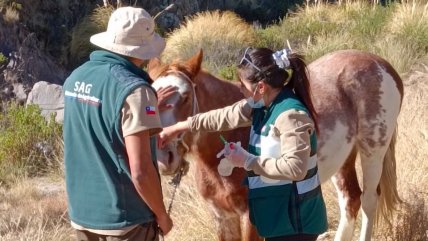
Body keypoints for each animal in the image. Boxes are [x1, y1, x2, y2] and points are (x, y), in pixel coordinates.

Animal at [147, 49, 402, 241]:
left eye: (185, 97)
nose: (164, 157)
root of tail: (379, 63)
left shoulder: (251, 218)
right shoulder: (222, 217)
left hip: (373, 151)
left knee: (368, 200)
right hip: (344, 160)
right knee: (350, 200)